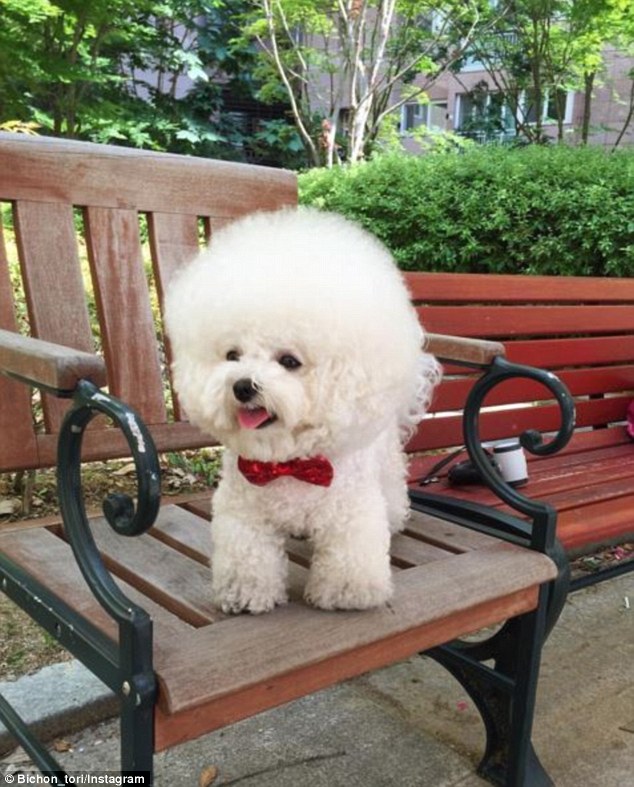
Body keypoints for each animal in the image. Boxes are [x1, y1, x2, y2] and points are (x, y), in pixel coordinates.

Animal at [165, 209, 436, 616]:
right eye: (232, 355)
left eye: (289, 361)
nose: (242, 386)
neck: (289, 462)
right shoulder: (243, 513)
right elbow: (248, 556)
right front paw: (245, 594)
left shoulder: (350, 512)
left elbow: (348, 555)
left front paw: (346, 593)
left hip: (386, 461)